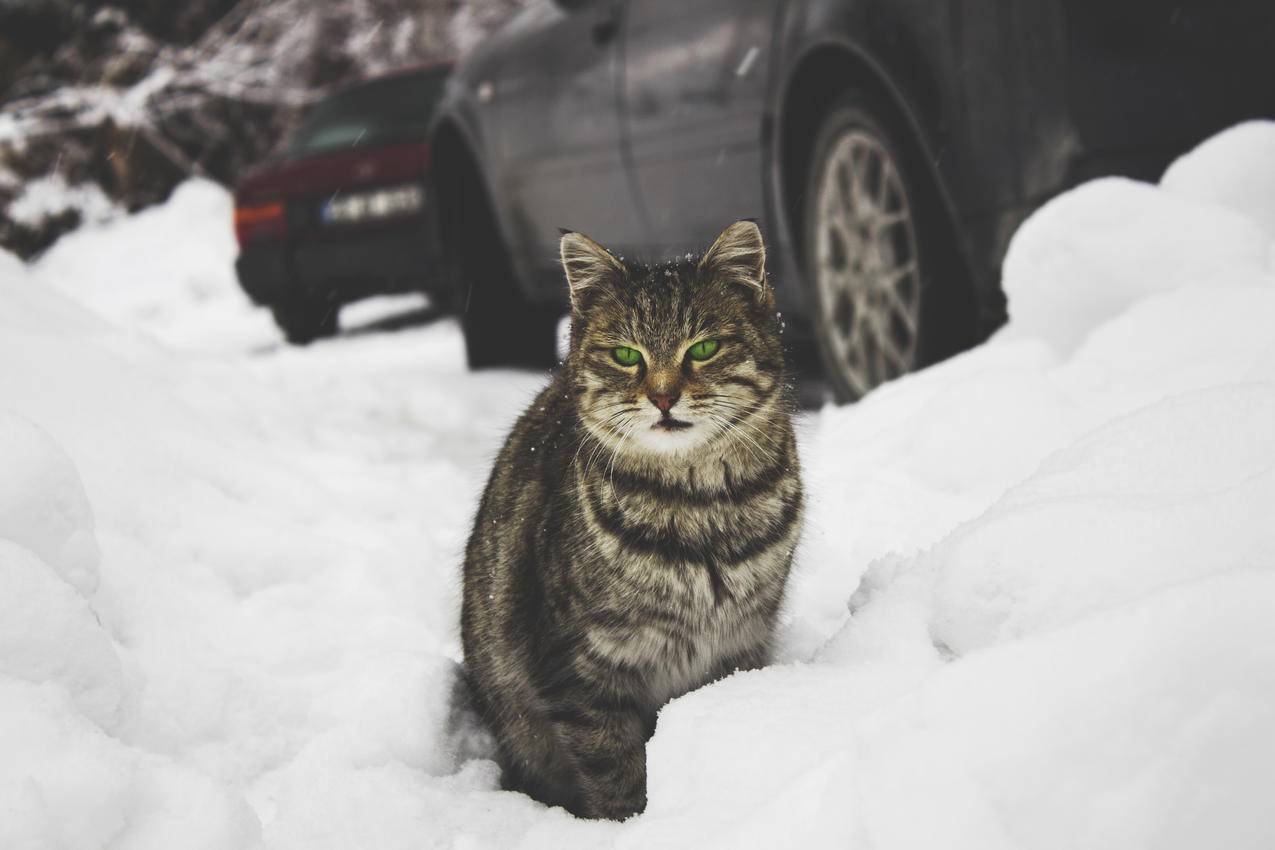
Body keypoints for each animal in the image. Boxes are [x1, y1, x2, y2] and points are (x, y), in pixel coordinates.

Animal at [459, 219, 800, 815]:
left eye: (703, 348)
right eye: (625, 354)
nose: (663, 397)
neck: (701, 507)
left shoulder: (742, 642)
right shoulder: (580, 671)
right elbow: (615, 772)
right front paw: (634, 823)